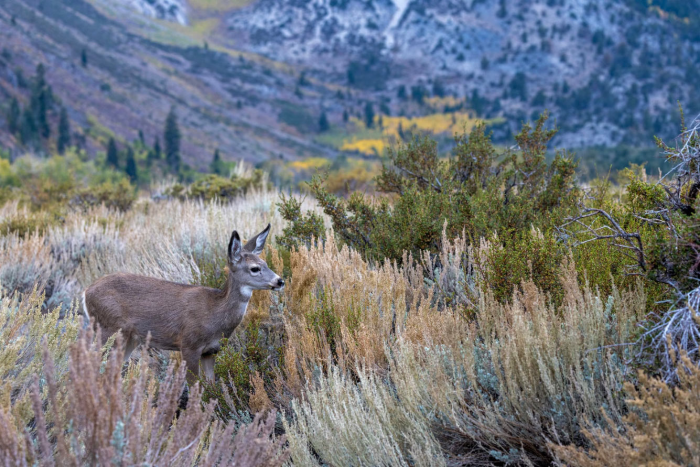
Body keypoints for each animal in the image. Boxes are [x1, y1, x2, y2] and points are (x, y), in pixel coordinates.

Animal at [84, 225, 284, 386]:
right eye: (254, 268)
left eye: (265, 263)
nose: (280, 281)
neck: (215, 312)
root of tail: (86, 292)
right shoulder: (189, 345)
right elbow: (194, 386)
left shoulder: (211, 351)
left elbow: (210, 386)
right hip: (108, 328)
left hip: (129, 338)